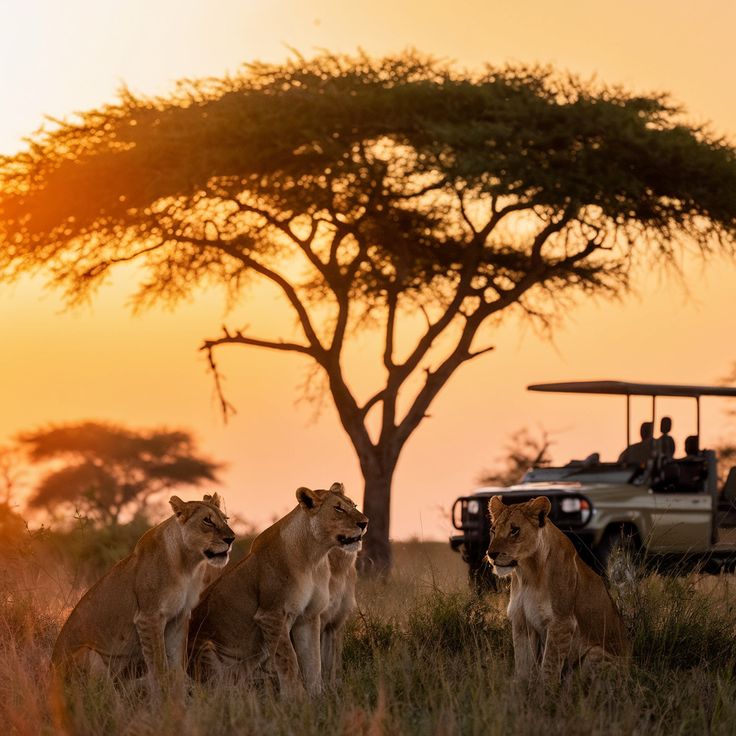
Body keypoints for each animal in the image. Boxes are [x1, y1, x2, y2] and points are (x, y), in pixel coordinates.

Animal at [52, 493, 235, 698]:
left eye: (225, 519)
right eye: (207, 521)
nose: (231, 539)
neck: (188, 564)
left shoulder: (178, 616)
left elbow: (177, 667)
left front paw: (179, 699)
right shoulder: (149, 617)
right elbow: (160, 667)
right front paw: (165, 702)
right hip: (89, 654)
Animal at [188, 482, 367, 696]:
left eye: (354, 505)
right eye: (338, 508)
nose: (365, 522)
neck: (315, 557)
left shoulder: (309, 616)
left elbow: (313, 663)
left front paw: (318, 697)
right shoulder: (272, 615)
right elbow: (289, 662)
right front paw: (297, 699)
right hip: (207, 649)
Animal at [487, 495, 628, 683]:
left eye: (514, 530)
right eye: (493, 530)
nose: (491, 554)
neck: (527, 574)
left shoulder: (561, 623)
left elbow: (549, 668)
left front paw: (545, 690)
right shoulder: (521, 621)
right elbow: (522, 666)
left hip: (594, 655)